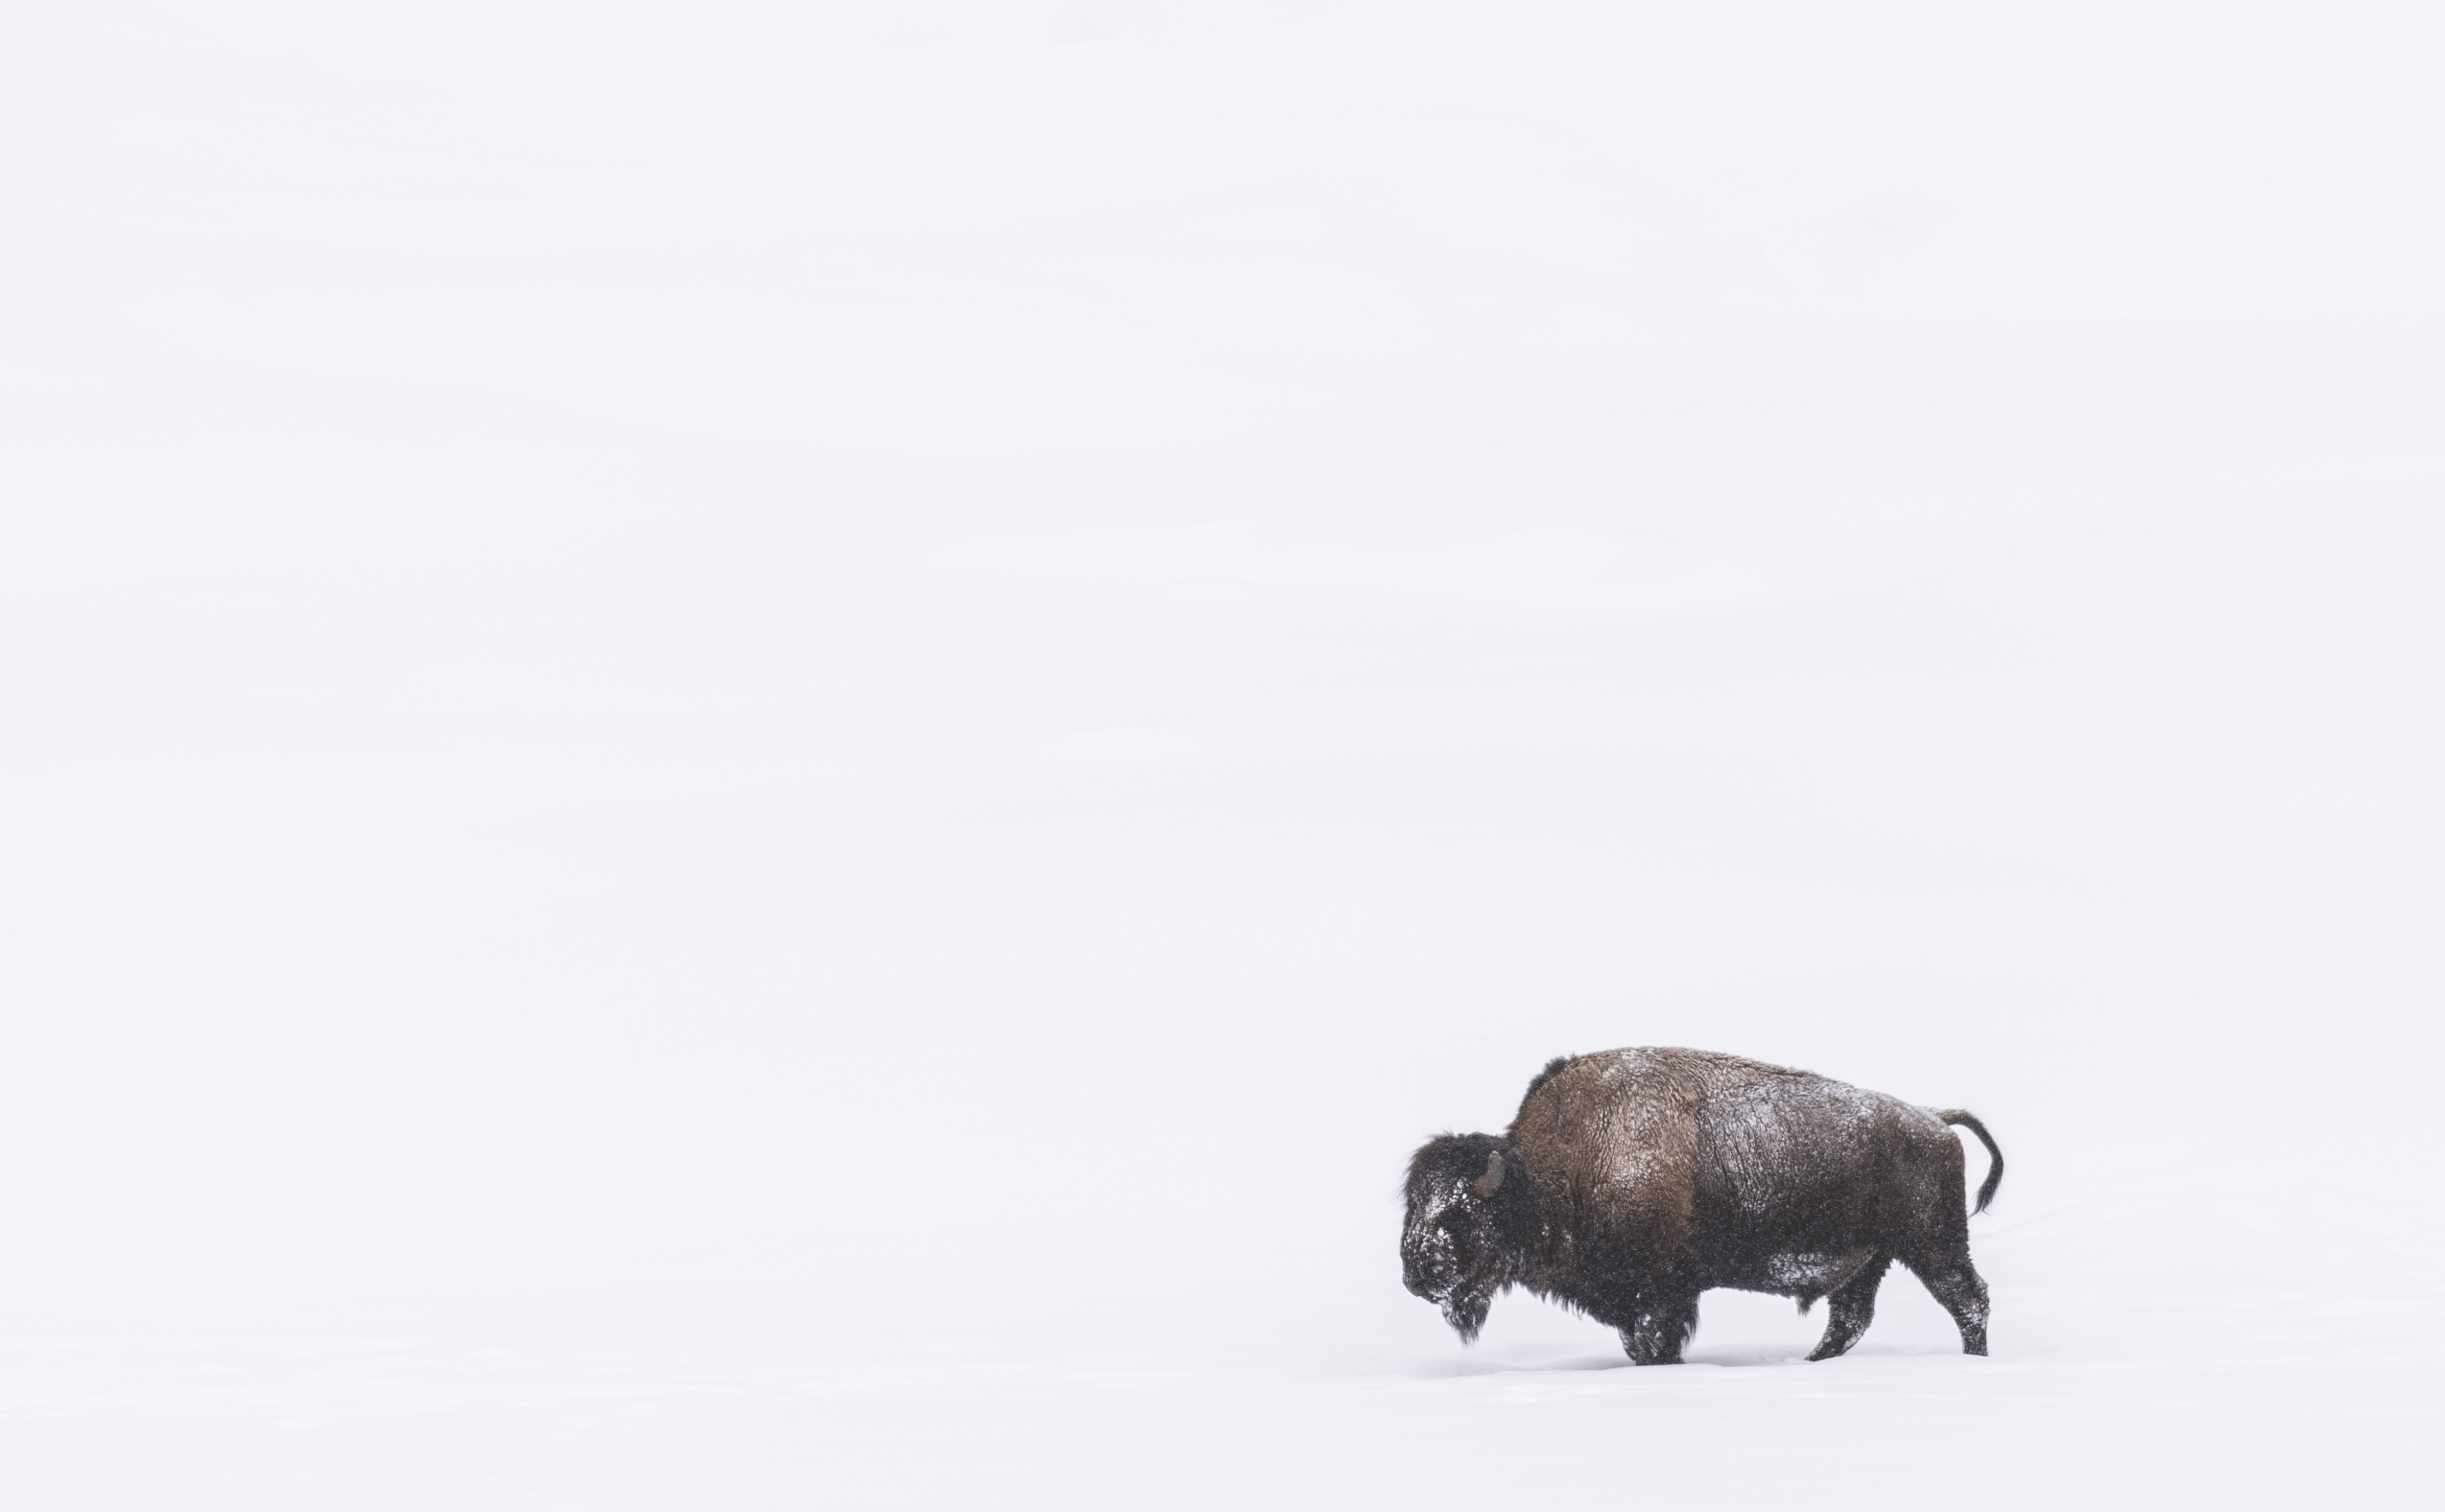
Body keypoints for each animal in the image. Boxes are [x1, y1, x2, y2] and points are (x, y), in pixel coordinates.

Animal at [1401, 1047, 2003, 1364]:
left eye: (1458, 1213)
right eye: (1413, 1205)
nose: (1414, 1275)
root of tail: (1934, 1118)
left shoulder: (1658, 1294)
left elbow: (1654, 1339)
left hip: (1932, 1243)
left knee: (1967, 1298)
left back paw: (1974, 1359)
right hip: (1870, 1259)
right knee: (1851, 1317)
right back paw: (1810, 1362)